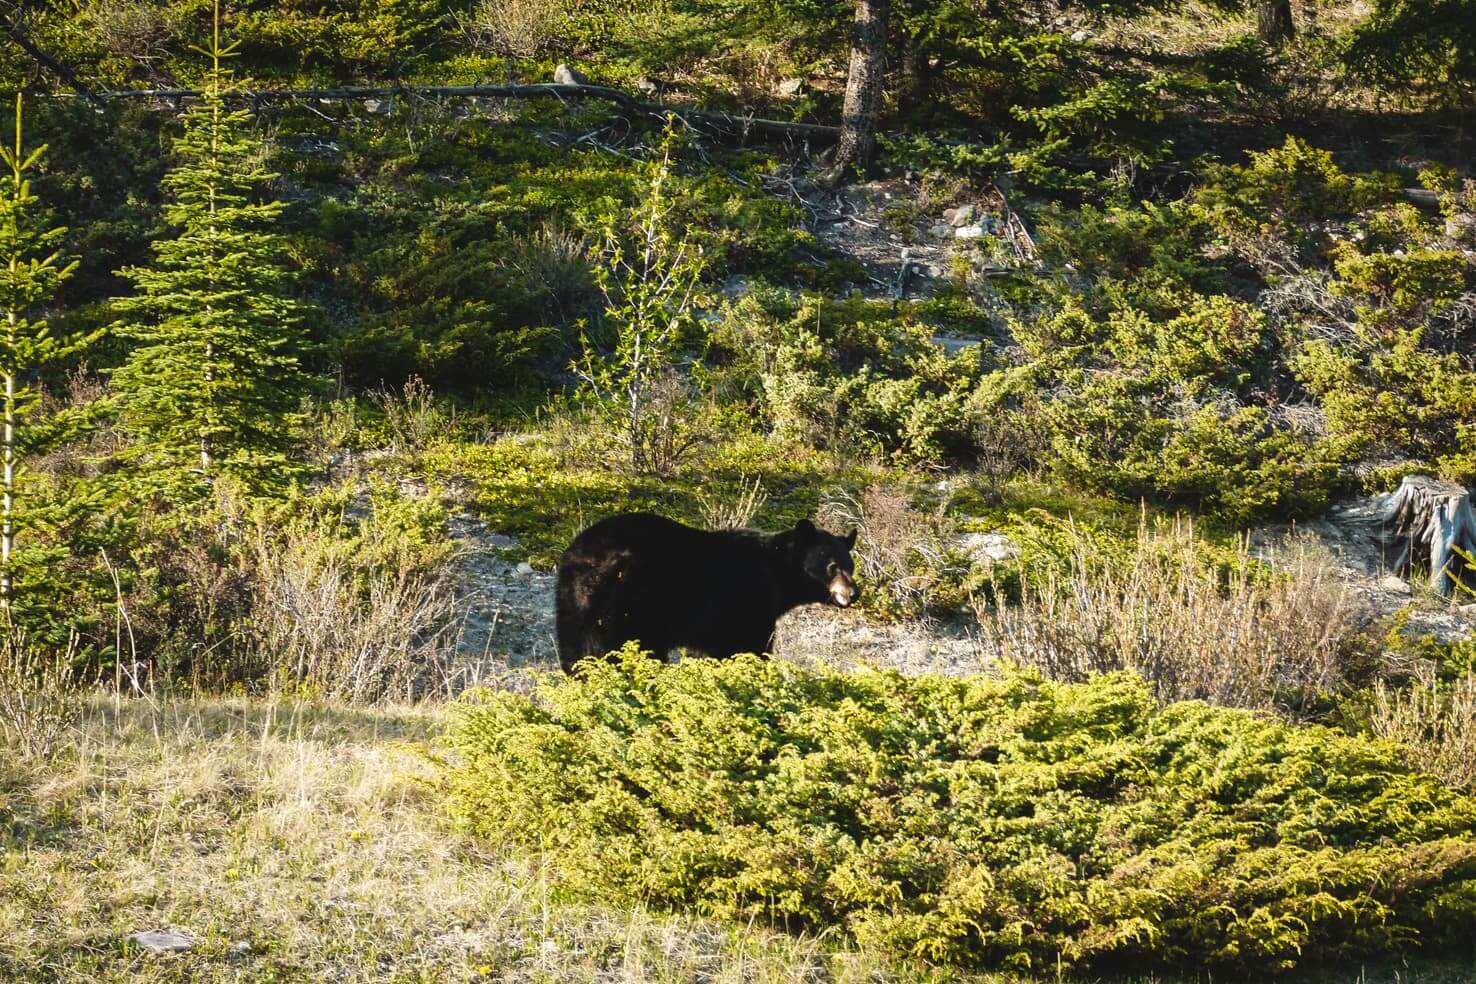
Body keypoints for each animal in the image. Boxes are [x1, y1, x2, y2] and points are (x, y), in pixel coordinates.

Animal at [554, 516, 861, 669]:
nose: (853, 593)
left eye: (851, 565)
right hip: (627, 607)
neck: (775, 570)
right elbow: (747, 646)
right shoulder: (746, 601)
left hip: (572, 607)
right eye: (832, 566)